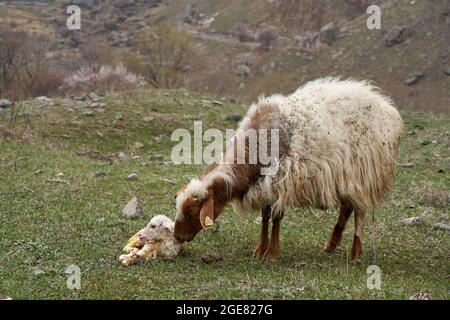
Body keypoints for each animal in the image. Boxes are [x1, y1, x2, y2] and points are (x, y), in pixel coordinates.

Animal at [173, 79, 404, 262]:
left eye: (193, 213)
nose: (176, 236)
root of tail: (385, 106)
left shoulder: (283, 181)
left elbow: (276, 217)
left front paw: (272, 253)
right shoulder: (265, 184)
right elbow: (265, 216)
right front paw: (260, 249)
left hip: (364, 173)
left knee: (359, 212)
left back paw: (355, 253)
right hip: (345, 177)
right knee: (346, 208)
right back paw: (330, 245)